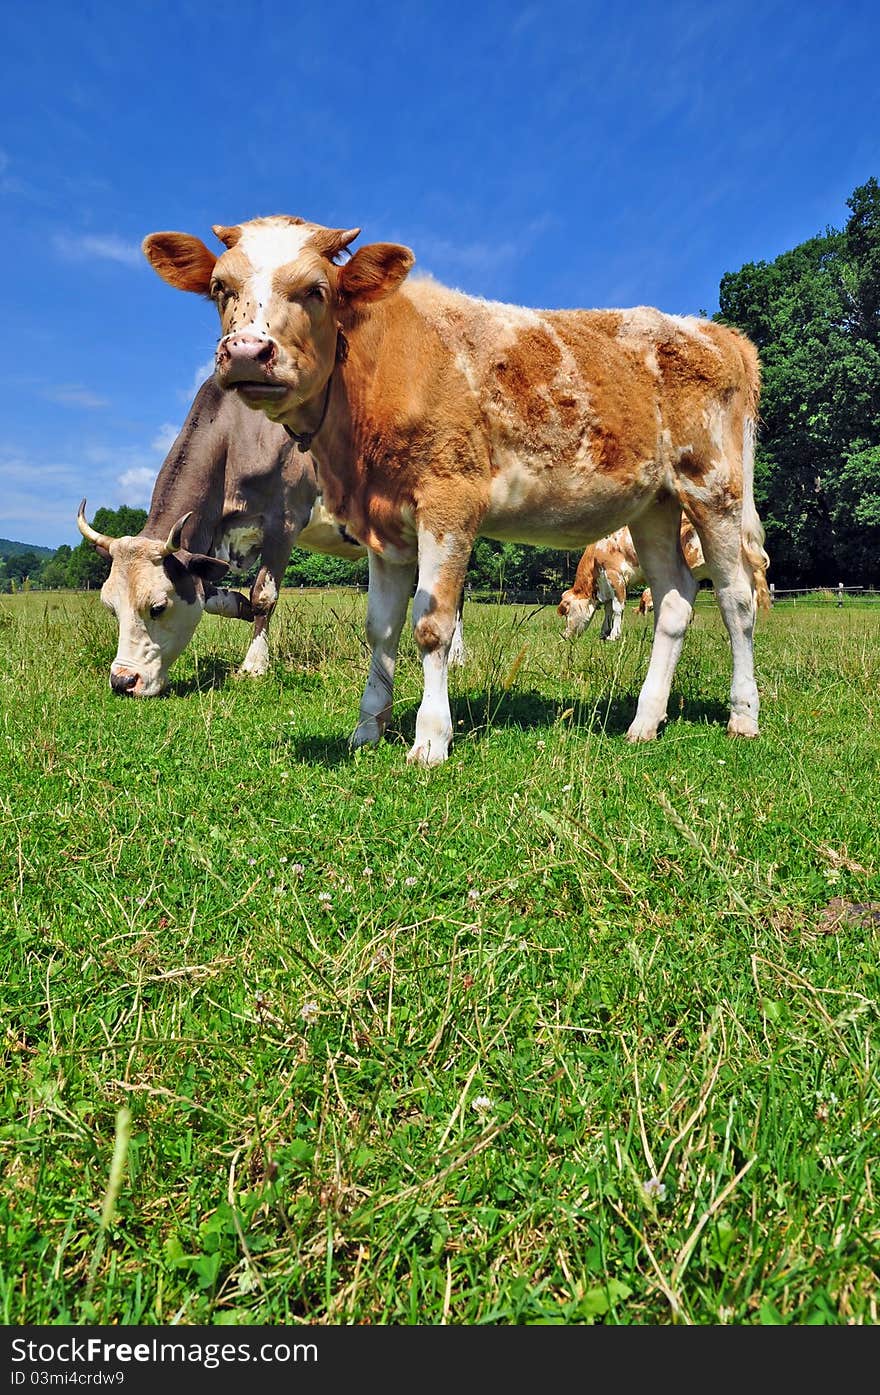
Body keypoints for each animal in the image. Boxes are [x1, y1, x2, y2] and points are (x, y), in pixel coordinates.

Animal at [74, 376, 365, 697]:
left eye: (157, 607)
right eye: (110, 607)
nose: (123, 681)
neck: (238, 435)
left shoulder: (284, 524)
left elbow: (263, 595)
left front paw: (254, 665)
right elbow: (211, 594)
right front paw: (241, 606)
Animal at [560, 518, 714, 638]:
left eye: (566, 612)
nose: (564, 635)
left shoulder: (615, 576)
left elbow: (617, 608)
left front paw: (614, 635)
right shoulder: (607, 583)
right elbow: (608, 610)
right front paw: (604, 633)